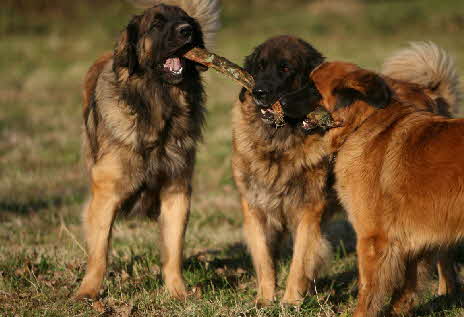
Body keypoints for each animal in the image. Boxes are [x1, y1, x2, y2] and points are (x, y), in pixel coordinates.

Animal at [75, 0, 220, 298]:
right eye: (156, 24)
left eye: (186, 20)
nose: (187, 30)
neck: (157, 108)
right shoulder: (105, 194)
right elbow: (100, 253)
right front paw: (88, 292)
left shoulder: (176, 192)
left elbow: (174, 250)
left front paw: (178, 293)